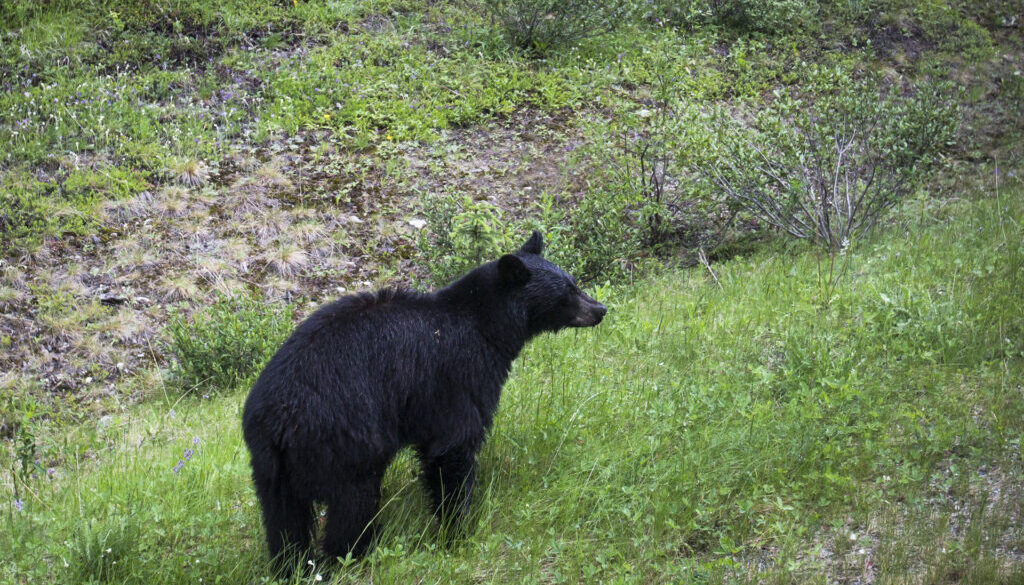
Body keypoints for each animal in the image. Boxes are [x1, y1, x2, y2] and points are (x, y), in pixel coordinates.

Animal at [242, 231, 602, 565]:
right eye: (567, 292)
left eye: (572, 282)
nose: (600, 309)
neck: (487, 325)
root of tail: (278, 421)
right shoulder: (458, 377)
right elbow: (452, 449)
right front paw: (456, 532)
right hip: (344, 440)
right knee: (352, 503)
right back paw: (353, 554)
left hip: (271, 467)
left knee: (284, 520)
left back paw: (290, 565)